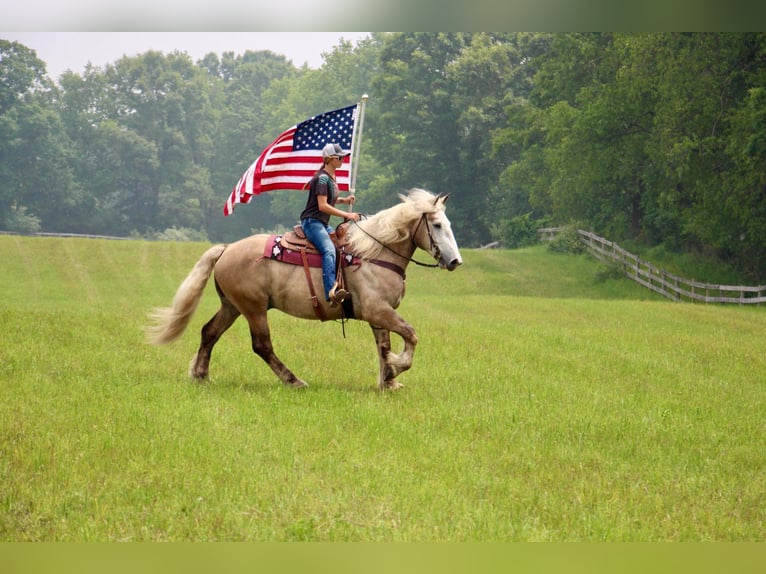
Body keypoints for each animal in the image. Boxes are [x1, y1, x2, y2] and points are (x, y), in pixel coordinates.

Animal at [147, 189, 464, 392]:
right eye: (437, 225)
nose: (455, 261)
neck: (373, 253)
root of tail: (226, 250)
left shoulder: (380, 315)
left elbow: (384, 345)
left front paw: (389, 379)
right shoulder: (377, 310)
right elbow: (410, 335)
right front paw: (397, 367)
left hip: (232, 306)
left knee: (209, 332)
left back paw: (200, 375)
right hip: (253, 308)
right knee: (262, 345)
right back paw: (293, 380)